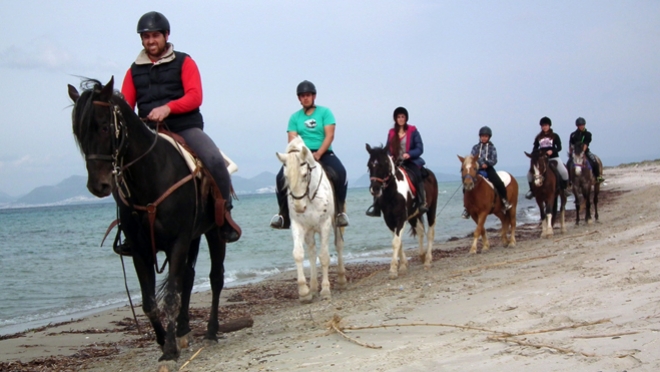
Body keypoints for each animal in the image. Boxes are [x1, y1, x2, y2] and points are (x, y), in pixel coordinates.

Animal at [67, 76, 227, 366]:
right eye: (78, 133)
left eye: (104, 126)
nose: (98, 185)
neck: (151, 174)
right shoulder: (141, 250)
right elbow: (149, 302)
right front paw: (165, 341)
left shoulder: (177, 242)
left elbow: (171, 297)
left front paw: (170, 351)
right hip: (194, 237)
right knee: (189, 277)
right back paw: (184, 330)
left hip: (214, 233)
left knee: (215, 277)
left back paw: (211, 331)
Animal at [274, 136, 348, 302]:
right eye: (285, 177)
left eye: (304, 175)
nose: (299, 207)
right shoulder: (298, 225)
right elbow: (298, 254)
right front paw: (304, 292)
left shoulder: (325, 224)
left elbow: (325, 256)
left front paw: (325, 290)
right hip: (309, 230)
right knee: (312, 252)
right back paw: (313, 287)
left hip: (336, 223)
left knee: (339, 245)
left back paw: (341, 279)